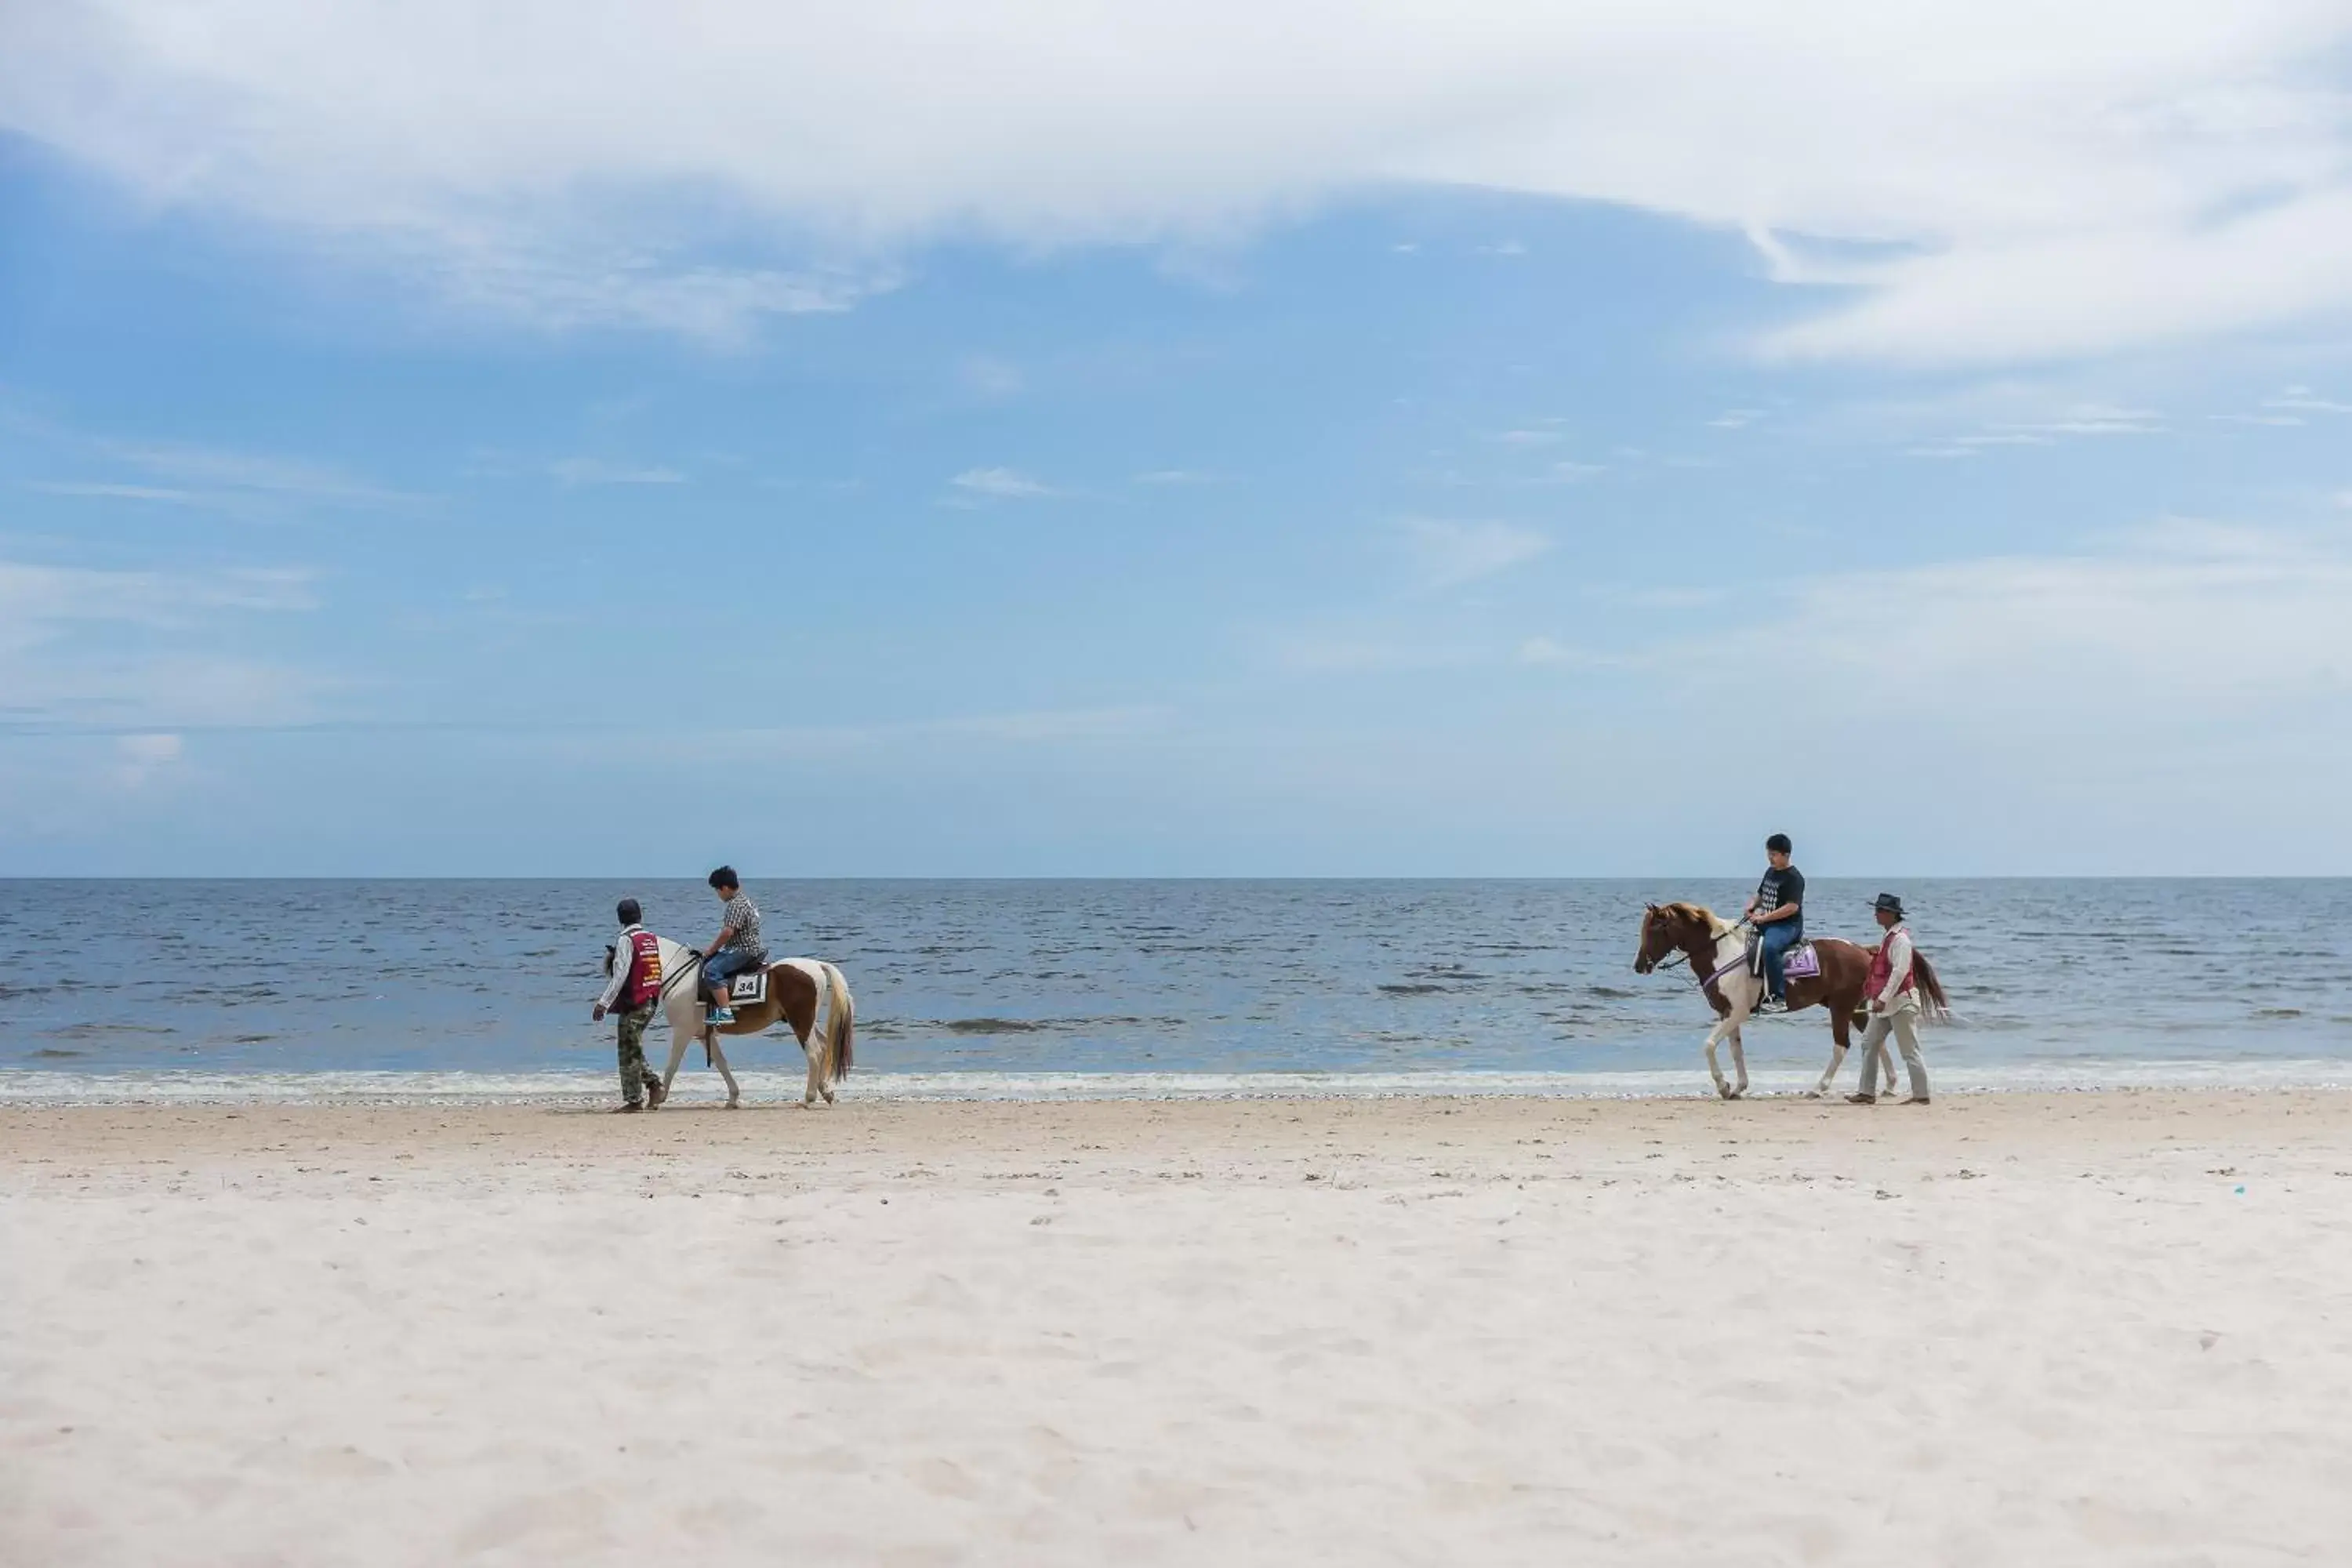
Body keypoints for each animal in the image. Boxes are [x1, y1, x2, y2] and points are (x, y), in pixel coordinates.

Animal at [630, 940, 861, 1109]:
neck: (682, 977)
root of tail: (816, 966)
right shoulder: (704, 1035)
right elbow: (721, 1063)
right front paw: (733, 1098)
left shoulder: (682, 1032)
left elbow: (672, 1065)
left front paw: (659, 1097)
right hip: (807, 1022)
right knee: (824, 1046)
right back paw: (826, 1091)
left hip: (800, 1022)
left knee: (814, 1053)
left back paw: (808, 1098)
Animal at [1637, 902, 1947, 1109]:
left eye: (1654, 928)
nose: (1639, 965)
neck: (1722, 953)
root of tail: (1862, 949)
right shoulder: (1729, 1014)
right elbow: (1736, 1051)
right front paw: (1738, 1087)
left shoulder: (1736, 1013)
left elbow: (1709, 1045)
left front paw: (1723, 1086)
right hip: (1855, 1008)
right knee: (1873, 1040)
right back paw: (1888, 1086)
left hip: (1840, 1008)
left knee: (1842, 1046)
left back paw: (1818, 1089)